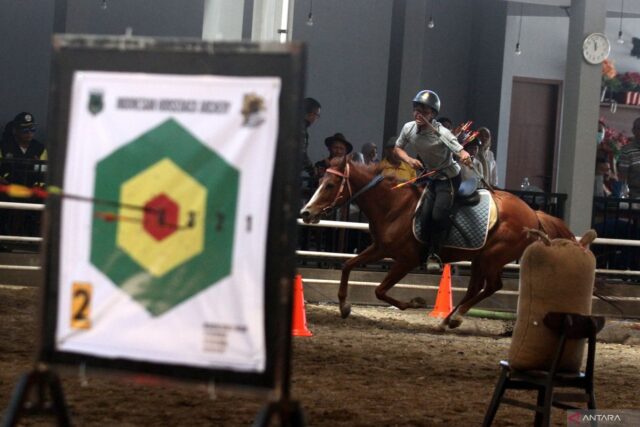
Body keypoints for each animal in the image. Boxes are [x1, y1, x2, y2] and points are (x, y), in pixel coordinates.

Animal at [300, 157, 576, 328]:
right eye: (320, 182)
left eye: (330, 185)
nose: (306, 212)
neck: (394, 206)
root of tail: (534, 213)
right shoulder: (379, 249)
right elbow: (348, 265)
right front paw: (344, 306)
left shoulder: (407, 260)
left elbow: (380, 290)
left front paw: (413, 303)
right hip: (480, 258)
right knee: (478, 288)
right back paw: (449, 319)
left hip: (492, 258)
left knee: (491, 286)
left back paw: (455, 318)